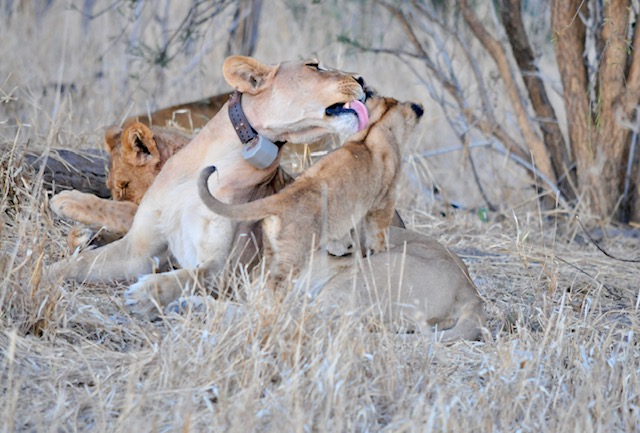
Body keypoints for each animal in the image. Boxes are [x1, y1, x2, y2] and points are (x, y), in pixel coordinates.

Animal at [198, 95, 423, 291]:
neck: (376, 125)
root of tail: (280, 198)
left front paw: (344, 248)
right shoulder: (384, 201)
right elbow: (378, 232)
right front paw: (381, 249)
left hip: (271, 250)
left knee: (260, 277)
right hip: (293, 253)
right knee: (275, 282)